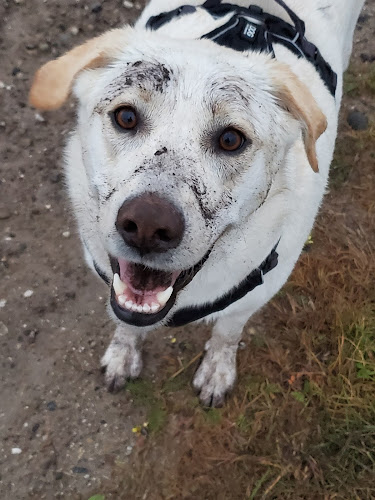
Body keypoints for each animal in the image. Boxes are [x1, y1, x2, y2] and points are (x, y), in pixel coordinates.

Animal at [30, 0, 368, 406]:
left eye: (230, 140)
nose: (147, 226)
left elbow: (227, 333)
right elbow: (124, 322)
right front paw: (123, 353)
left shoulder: (254, 296)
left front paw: (217, 371)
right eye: (125, 117)